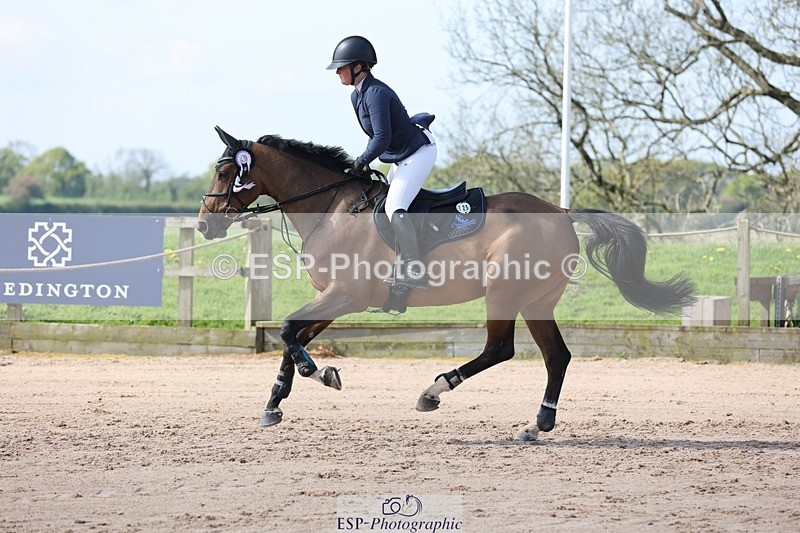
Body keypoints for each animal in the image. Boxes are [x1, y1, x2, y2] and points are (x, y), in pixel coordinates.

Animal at [197, 126, 695, 438]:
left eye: (223, 172)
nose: (204, 225)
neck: (331, 207)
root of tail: (562, 211)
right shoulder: (333, 299)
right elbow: (291, 335)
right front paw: (275, 403)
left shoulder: (344, 295)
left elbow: (286, 330)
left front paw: (320, 374)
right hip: (537, 301)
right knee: (557, 356)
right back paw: (538, 424)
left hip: (505, 293)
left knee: (501, 349)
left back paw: (433, 391)